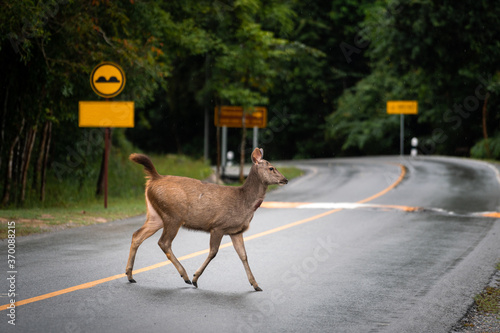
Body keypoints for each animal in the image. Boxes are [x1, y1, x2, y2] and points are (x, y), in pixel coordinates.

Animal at [126, 148, 290, 290]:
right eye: (271, 168)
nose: (285, 179)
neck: (244, 202)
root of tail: (155, 178)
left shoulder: (236, 231)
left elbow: (243, 255)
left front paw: (255, 285)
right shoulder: (218, 226)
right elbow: (213, 252)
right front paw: (195, 278)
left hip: (156, 216)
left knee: (137, 235)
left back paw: (130, 275)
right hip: (173, 215)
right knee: (163, 242)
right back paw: (185, 276)